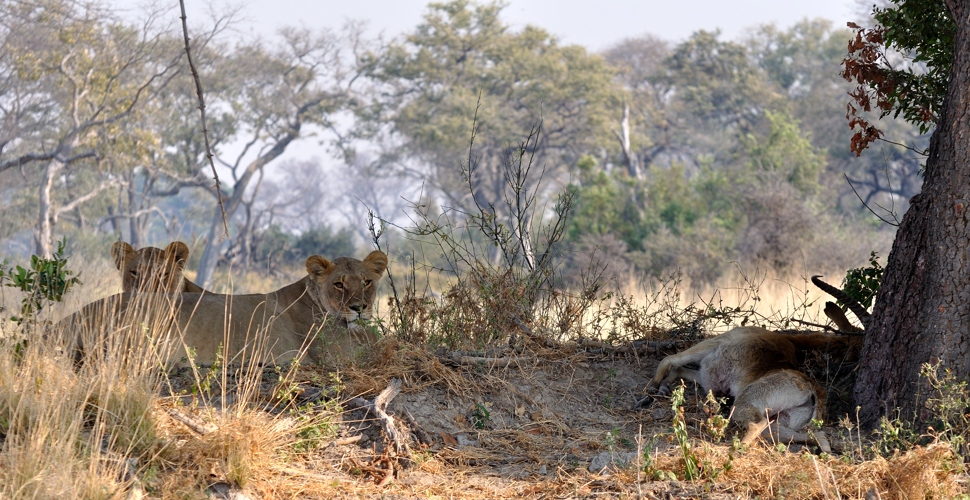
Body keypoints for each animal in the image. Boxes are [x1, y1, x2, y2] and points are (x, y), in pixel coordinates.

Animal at [648, 326, 852, 456]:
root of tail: (813, 388)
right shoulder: (706, 379)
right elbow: (678, 370)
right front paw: (663, 386)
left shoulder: (713, 345)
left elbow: (669, 361)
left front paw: (653, 386)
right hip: (780, 421)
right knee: (813, 434)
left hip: (746, 402)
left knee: (756, 425)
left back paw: (733, 451)